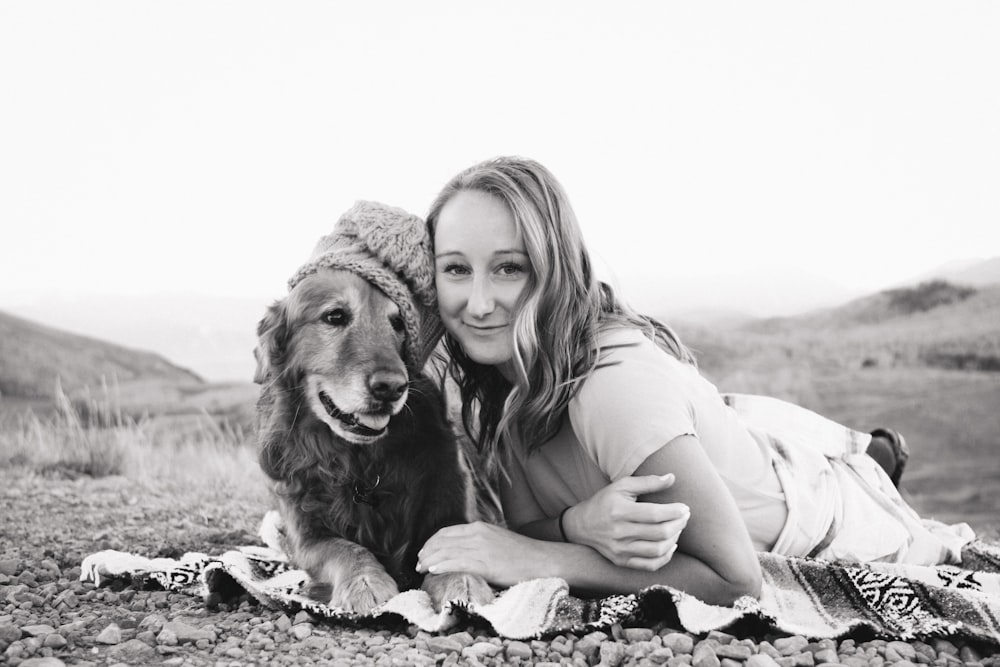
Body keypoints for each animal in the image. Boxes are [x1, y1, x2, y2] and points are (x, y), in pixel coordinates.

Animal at [256, 268, 494, 616]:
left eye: (398, 323)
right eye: (335, 315)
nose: (392, 387)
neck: (363, 462)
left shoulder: (454, 497)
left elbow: (457, 540)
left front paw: (463, 582)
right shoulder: (306, 535)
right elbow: (343, 548)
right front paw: (365, 581)